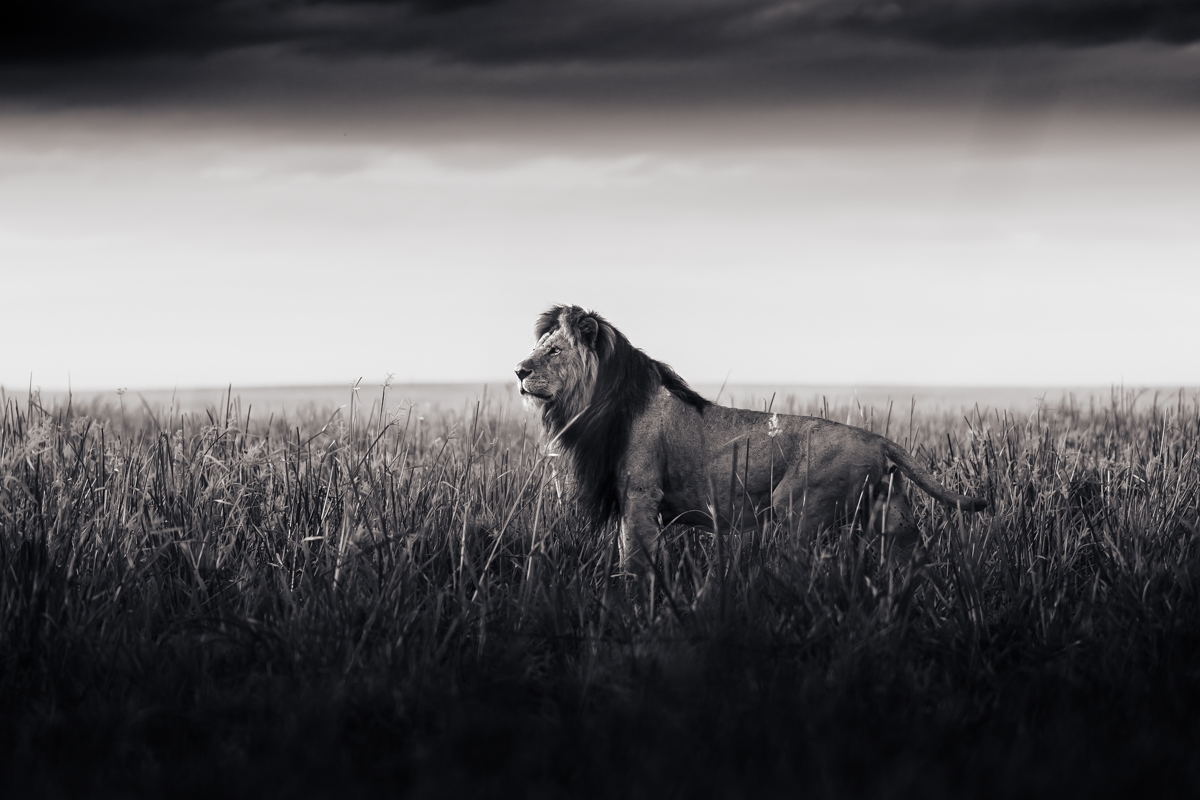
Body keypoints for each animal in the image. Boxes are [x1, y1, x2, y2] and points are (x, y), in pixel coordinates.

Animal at [515, 305, 988, 572]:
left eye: (554, 350)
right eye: (539, 347)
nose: (518, 370)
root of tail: (877, 439)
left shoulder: (640, 496)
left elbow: (635, 561)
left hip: (798, 511)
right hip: (891, 514)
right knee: (913, 566)